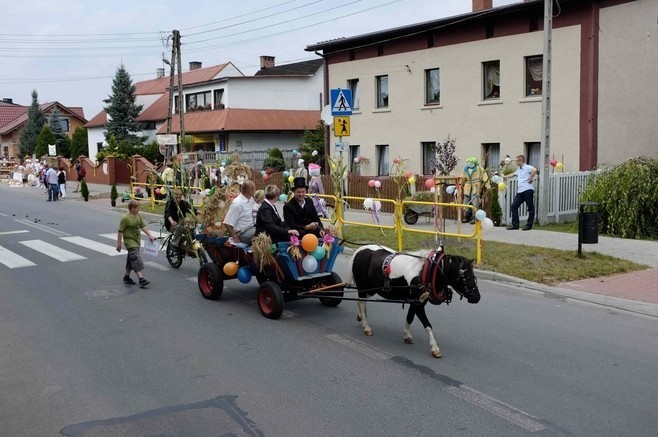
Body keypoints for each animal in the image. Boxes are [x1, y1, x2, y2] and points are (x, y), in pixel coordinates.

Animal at [346, 244, 480, 356]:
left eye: (473, 276)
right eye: (466, 277)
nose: (477, 297)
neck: (428, 270)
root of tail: (359, 250)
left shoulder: (417, 302)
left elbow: (410, 317)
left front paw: (407, 335)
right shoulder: (418, 303)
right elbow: (427, 325)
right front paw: (434, 347)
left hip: (371, 289)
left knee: (361, 301)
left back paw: (361, 316)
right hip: (363, 287)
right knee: (361, 302)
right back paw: (366, 327)